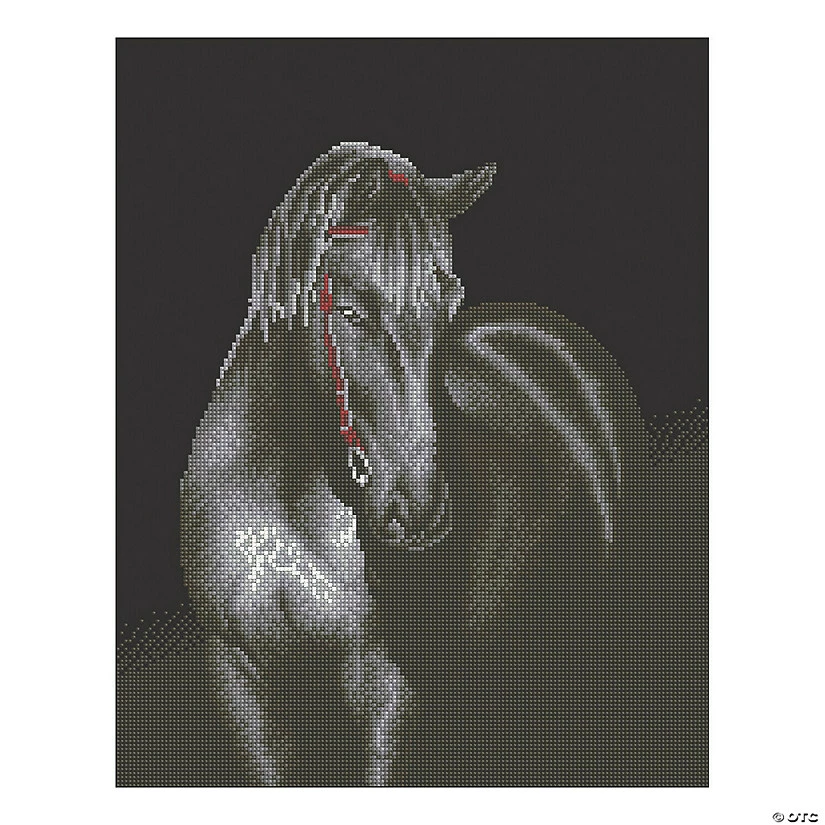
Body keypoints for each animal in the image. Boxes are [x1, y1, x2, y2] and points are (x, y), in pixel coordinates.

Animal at [180, 142, 644, 786]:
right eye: (349, 310)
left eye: (448, 300)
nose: (419, 513)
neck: (284, 504)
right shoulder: (240, 682)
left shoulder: (387, 690)